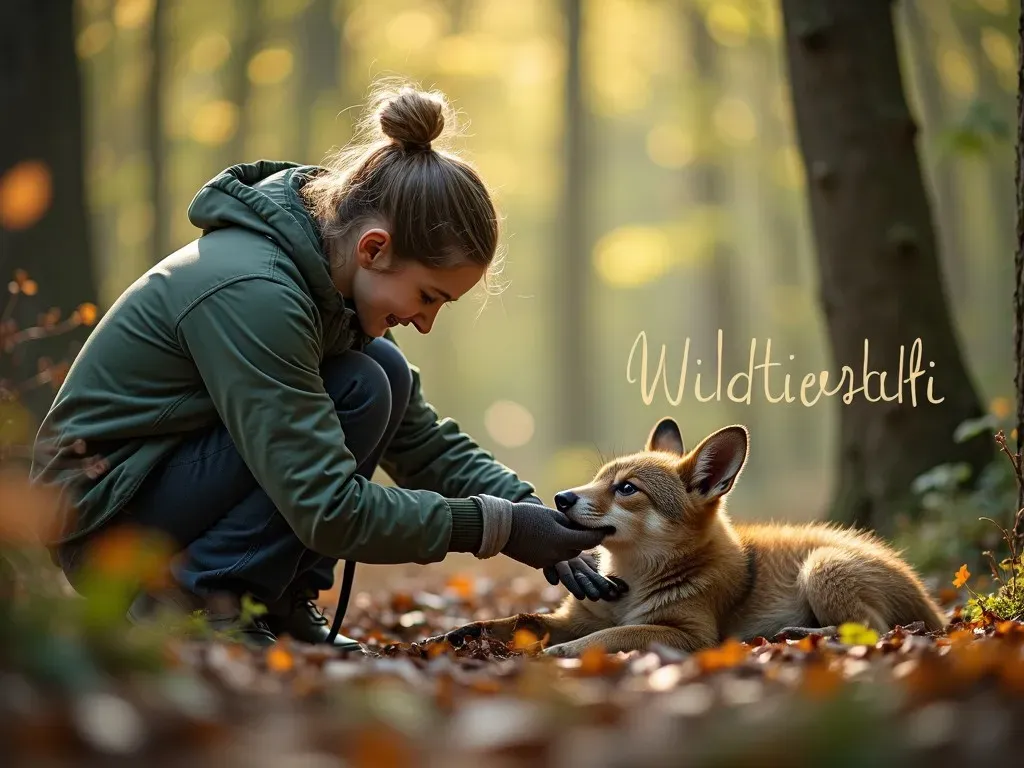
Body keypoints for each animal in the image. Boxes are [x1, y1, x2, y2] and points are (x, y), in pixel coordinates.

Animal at [440, 417, 942, 659]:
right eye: (599, 478)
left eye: (627, 489)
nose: (561, 499)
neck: (631, 581)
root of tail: (931, 602)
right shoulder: (576, 616)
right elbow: (521, 619)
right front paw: (461, 634)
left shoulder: (689, 635)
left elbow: (614, 635)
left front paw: (559, 653)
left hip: (822, 567)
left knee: (874, 629)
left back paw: (801, 633)